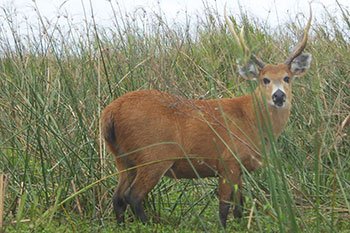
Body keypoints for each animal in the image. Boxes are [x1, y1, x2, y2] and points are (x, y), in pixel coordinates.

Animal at [100, 5, 314, 228]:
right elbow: (224, 206)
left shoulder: (239, 168)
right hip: (153, 155)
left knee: (118, 198)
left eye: (287, 78)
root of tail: (110, 112)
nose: (278, 96)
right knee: (133, 195)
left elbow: (240, 205)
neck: (250, 120)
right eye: (265, 80)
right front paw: (224, 227)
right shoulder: (227, 161)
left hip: (122, 158)